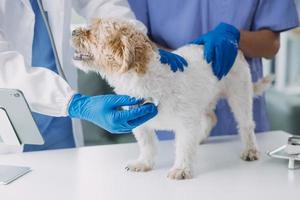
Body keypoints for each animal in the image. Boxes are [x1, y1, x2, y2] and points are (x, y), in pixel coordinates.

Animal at [71, 18, 272, 180]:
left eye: (92, 32)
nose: (73, 31)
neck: (146, 80)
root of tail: (235, 47)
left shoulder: (186, 123)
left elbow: (183, 146)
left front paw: (181, 169)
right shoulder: (138, 122)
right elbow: (147, 144)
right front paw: (143, 163)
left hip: (239, 94)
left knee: (246, 124)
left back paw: (250, 150)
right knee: (211, 118)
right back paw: (200, 137)